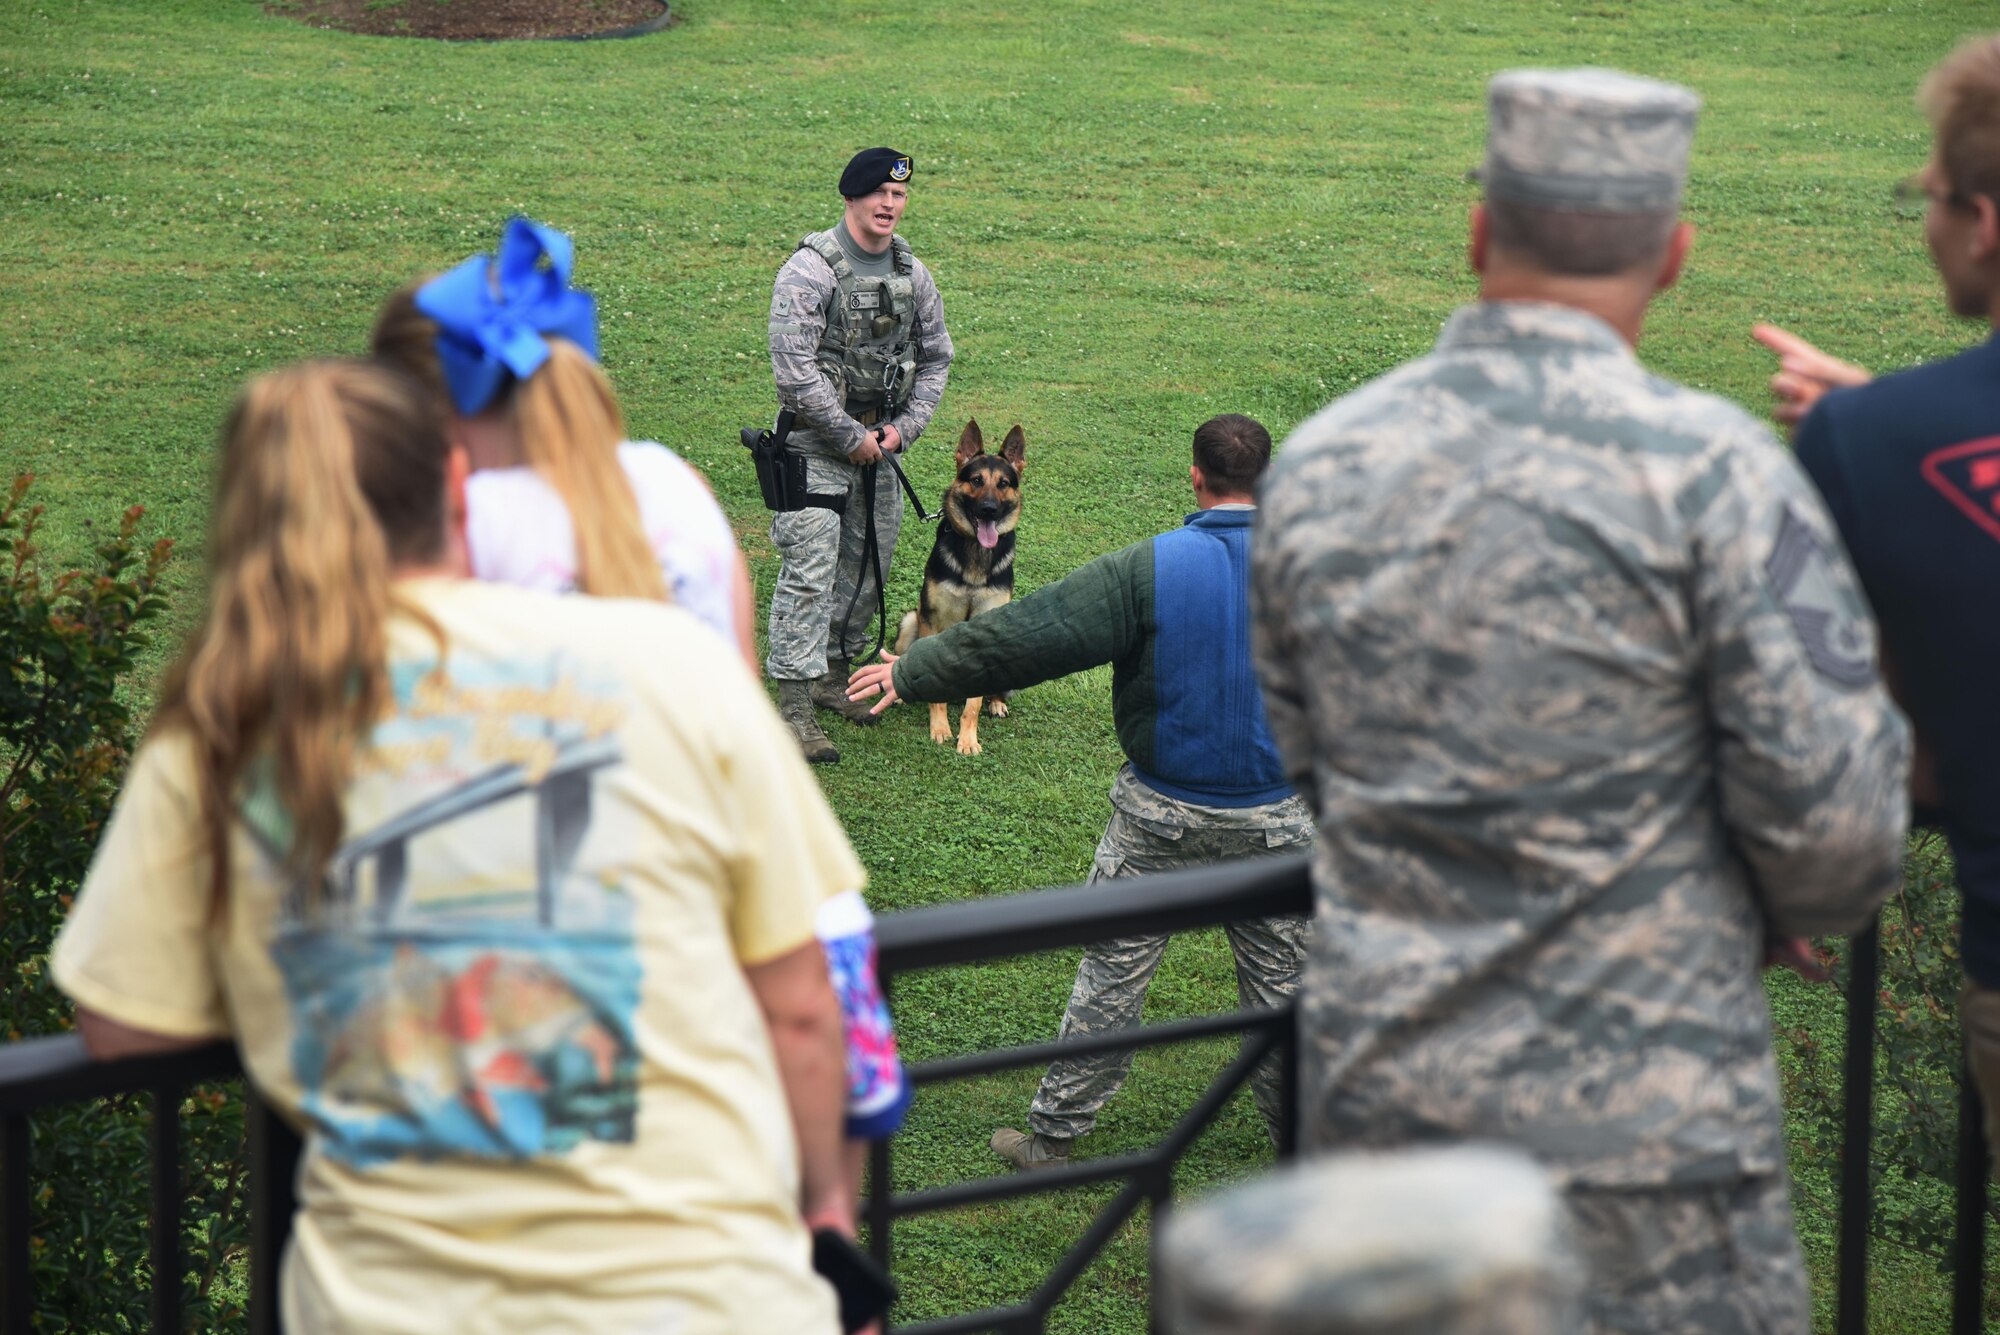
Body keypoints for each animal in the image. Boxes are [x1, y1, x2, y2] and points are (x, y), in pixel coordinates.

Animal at [904, 419, 1032, 751]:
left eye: (1003, 483)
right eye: (976, 480)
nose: (989, 509)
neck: (976, 552)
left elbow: (972, 704)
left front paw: (968, 738)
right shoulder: (931, 619)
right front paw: (939, 727)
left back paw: (997, 703)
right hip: (910, 621)